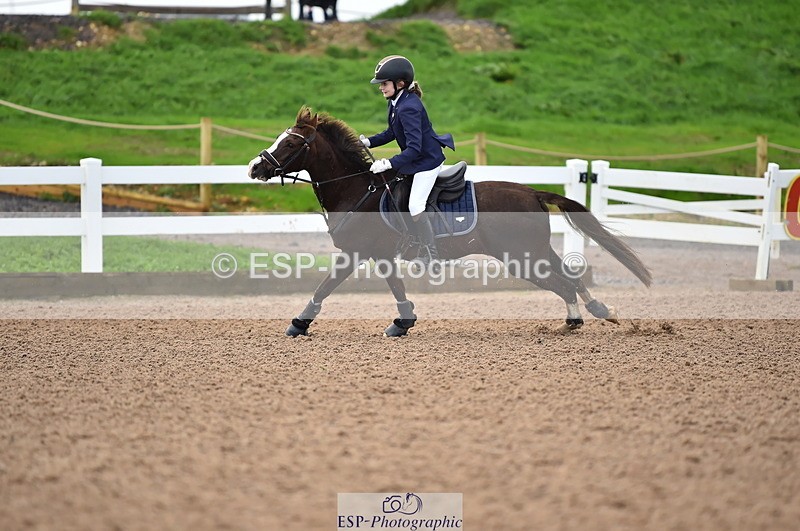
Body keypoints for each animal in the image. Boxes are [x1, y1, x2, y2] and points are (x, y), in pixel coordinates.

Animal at [247, 107, 652, 337]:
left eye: (291, 143)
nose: (254, 167)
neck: (356, 188)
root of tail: (531, 191)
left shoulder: (360, 253)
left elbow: (326, 287)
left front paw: (299, 323)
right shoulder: (376, 255)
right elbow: (393, 288)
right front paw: (404, 321)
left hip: (520, 257)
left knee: (563, 283)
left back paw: (576, 320)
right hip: (534, 250)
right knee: (569, 277)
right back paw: (595, 312)